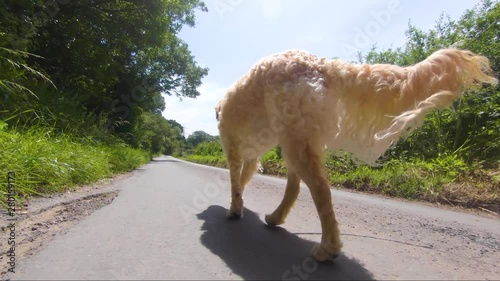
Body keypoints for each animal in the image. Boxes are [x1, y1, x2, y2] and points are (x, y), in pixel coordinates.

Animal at [214, 48, 496, 260]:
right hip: (297, 140)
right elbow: (242, 179)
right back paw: (276, 218)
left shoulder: (232, 148)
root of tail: (321, 65)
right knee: (296, 186)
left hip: (294, 140)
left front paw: (234, 210)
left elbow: (235, 181)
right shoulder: (251, 158)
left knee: (320, 191)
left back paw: (327, 249)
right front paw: (239, 203)